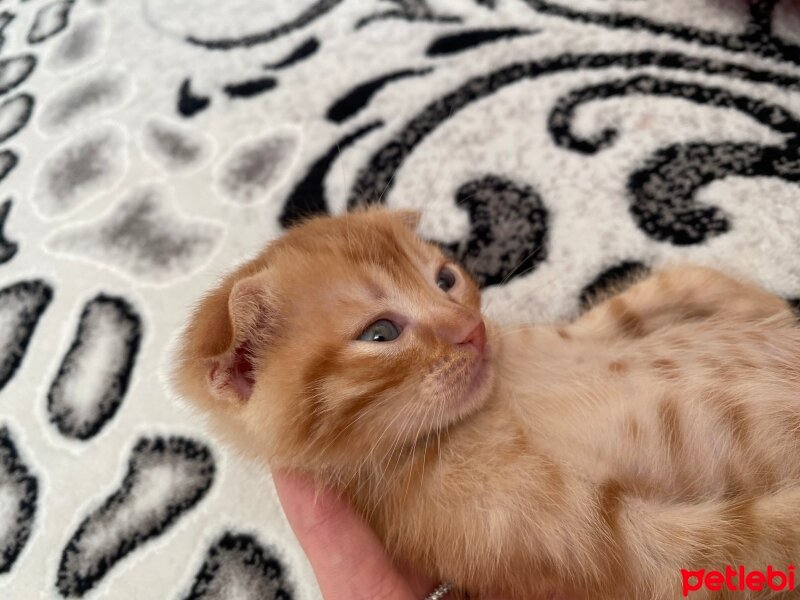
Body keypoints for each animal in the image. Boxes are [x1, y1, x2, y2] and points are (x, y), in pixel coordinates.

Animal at [177, 209, 800, 596]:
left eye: (445, 279)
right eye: (380, 333)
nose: (472, 331)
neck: (495, 402)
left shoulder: (568, 336)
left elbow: (666, 286)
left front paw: (767, 307)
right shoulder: (595, 545)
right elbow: (747, 539)